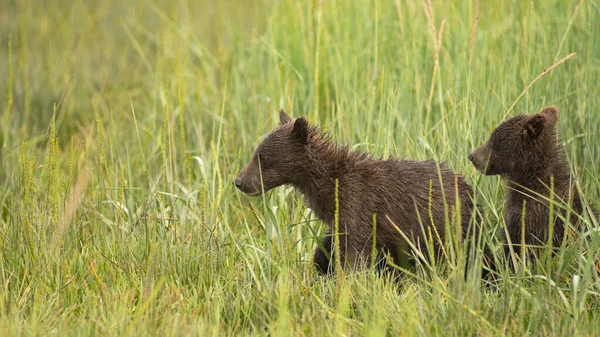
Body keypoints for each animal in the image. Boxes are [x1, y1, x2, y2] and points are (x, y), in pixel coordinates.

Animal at [233, 110, 478, 272]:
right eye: (256, 152)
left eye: (262, 157)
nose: (239, 181)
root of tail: (467, 187)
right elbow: (329, 246)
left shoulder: (359, 205)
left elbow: (355, 253)